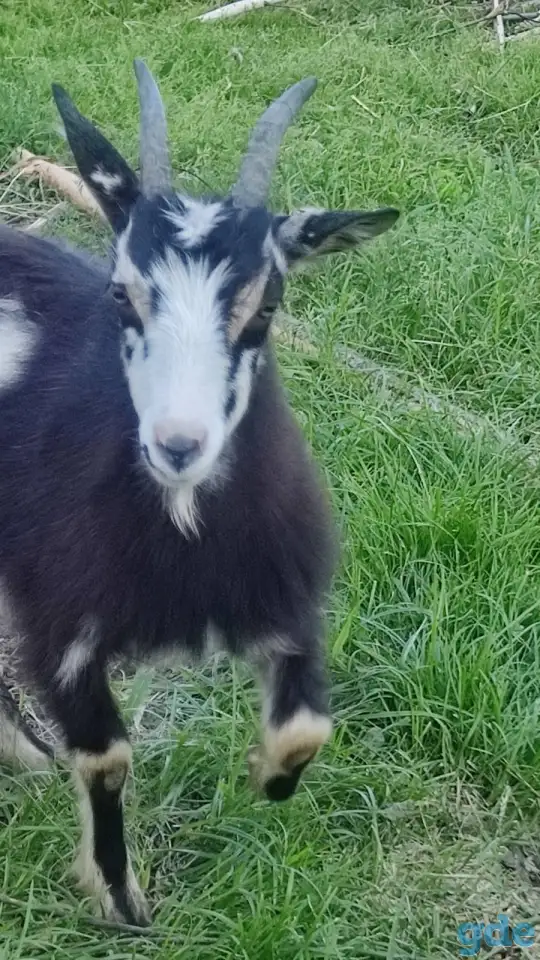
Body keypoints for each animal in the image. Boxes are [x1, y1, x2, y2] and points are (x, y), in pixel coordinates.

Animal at [0, 61, 399, 926]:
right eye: (122, 294)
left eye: (268, 304)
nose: (178, 445)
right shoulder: (61, 626)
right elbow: (107, 758)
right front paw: (122, 899)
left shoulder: (287, 603)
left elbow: (305, 730)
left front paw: (264, 779)